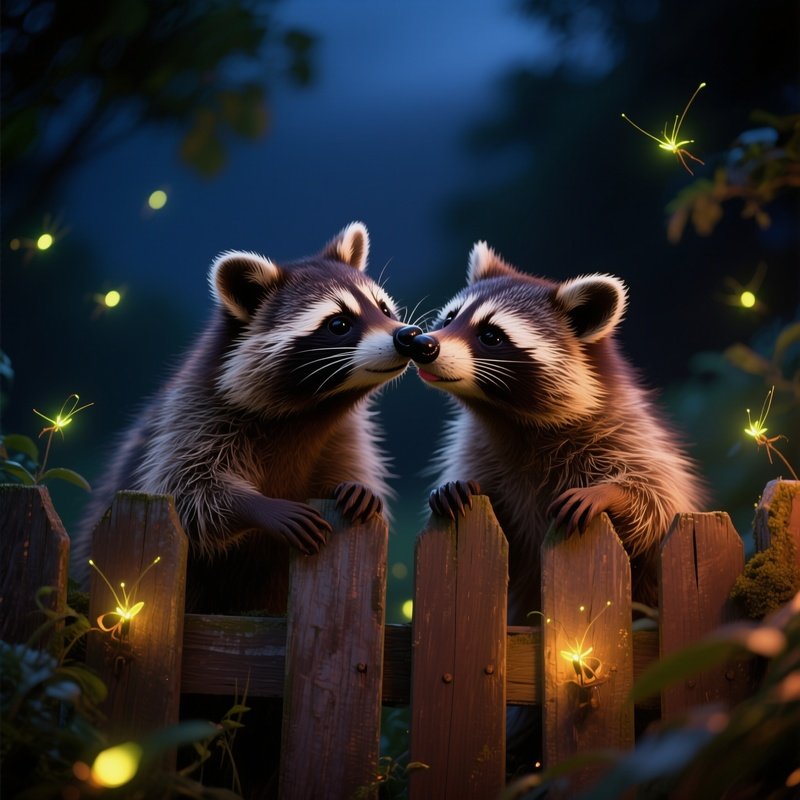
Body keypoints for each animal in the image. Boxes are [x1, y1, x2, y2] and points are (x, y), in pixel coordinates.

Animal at [73, 222, 431, 614]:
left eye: (382, 307)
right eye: (339, 324)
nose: (409, 335)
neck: (314, 410)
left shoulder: (343, 431)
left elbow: (351, 462)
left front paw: (357, 486)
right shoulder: (194, 415)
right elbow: (187, 488)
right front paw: (256, 507)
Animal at [421, 241, 707, 620]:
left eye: (491, 336)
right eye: (451, 318)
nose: (421, 344)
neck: (507, 416)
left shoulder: (628, 434)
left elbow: (659, 503)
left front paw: (612, 492)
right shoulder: (477, 445)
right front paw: (464, 485)